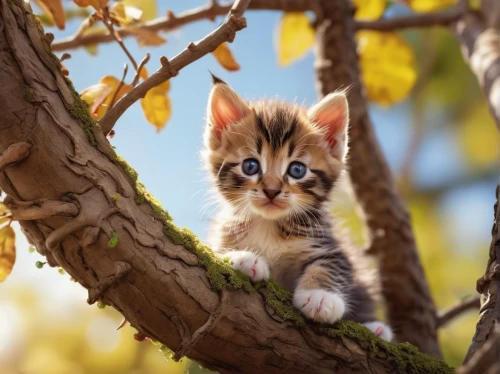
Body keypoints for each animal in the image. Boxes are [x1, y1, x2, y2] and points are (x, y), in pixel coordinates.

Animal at [201, 76, 392, 342]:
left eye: (297, 170)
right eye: (250, 166)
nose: (271, 190)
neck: (270, 224)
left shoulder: (329, 243)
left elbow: (332, 265)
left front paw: (321, 297)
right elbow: (215, 250)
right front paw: (243, 258)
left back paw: (377, 329)